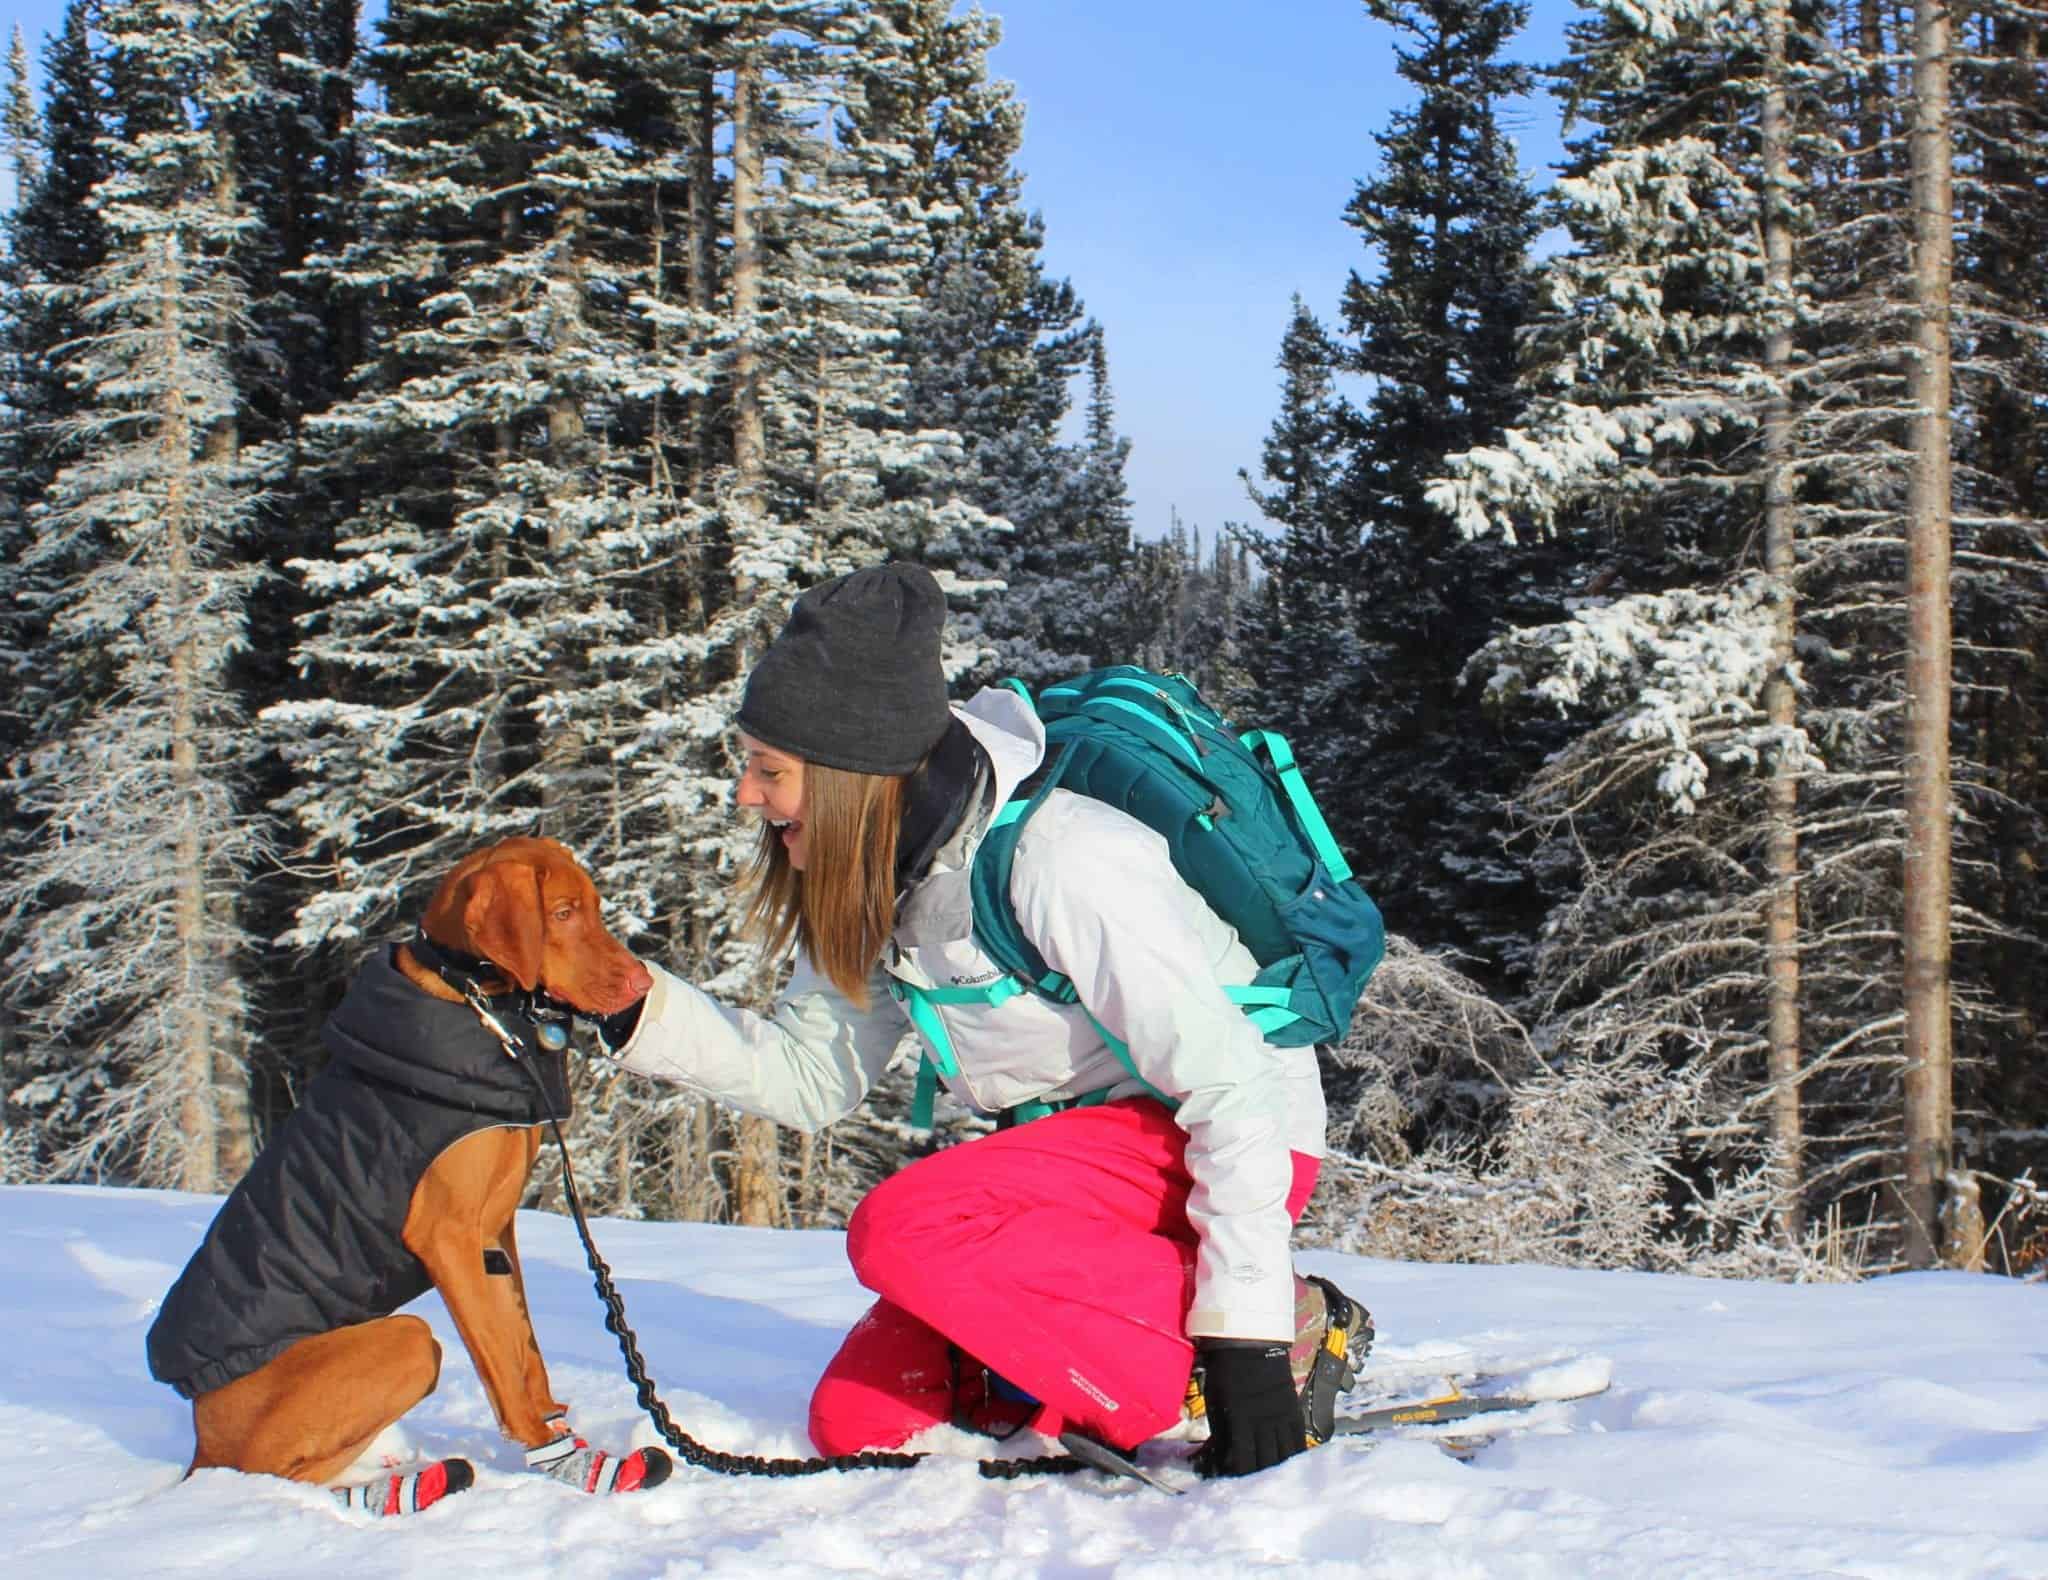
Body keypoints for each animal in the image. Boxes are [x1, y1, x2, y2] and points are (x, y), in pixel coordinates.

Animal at [151, 840, 663, 1516]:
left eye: (594, 908)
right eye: (562, 912)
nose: (643, 983)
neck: (475, 997)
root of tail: (200, 1439)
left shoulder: (495, 1231)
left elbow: (524, 1346)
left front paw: (557, 1427)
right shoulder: (446, 1235)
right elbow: (501, 1360)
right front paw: (554, 1453)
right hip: (405, 1342)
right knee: (276, 1474)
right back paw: (390, 1488)